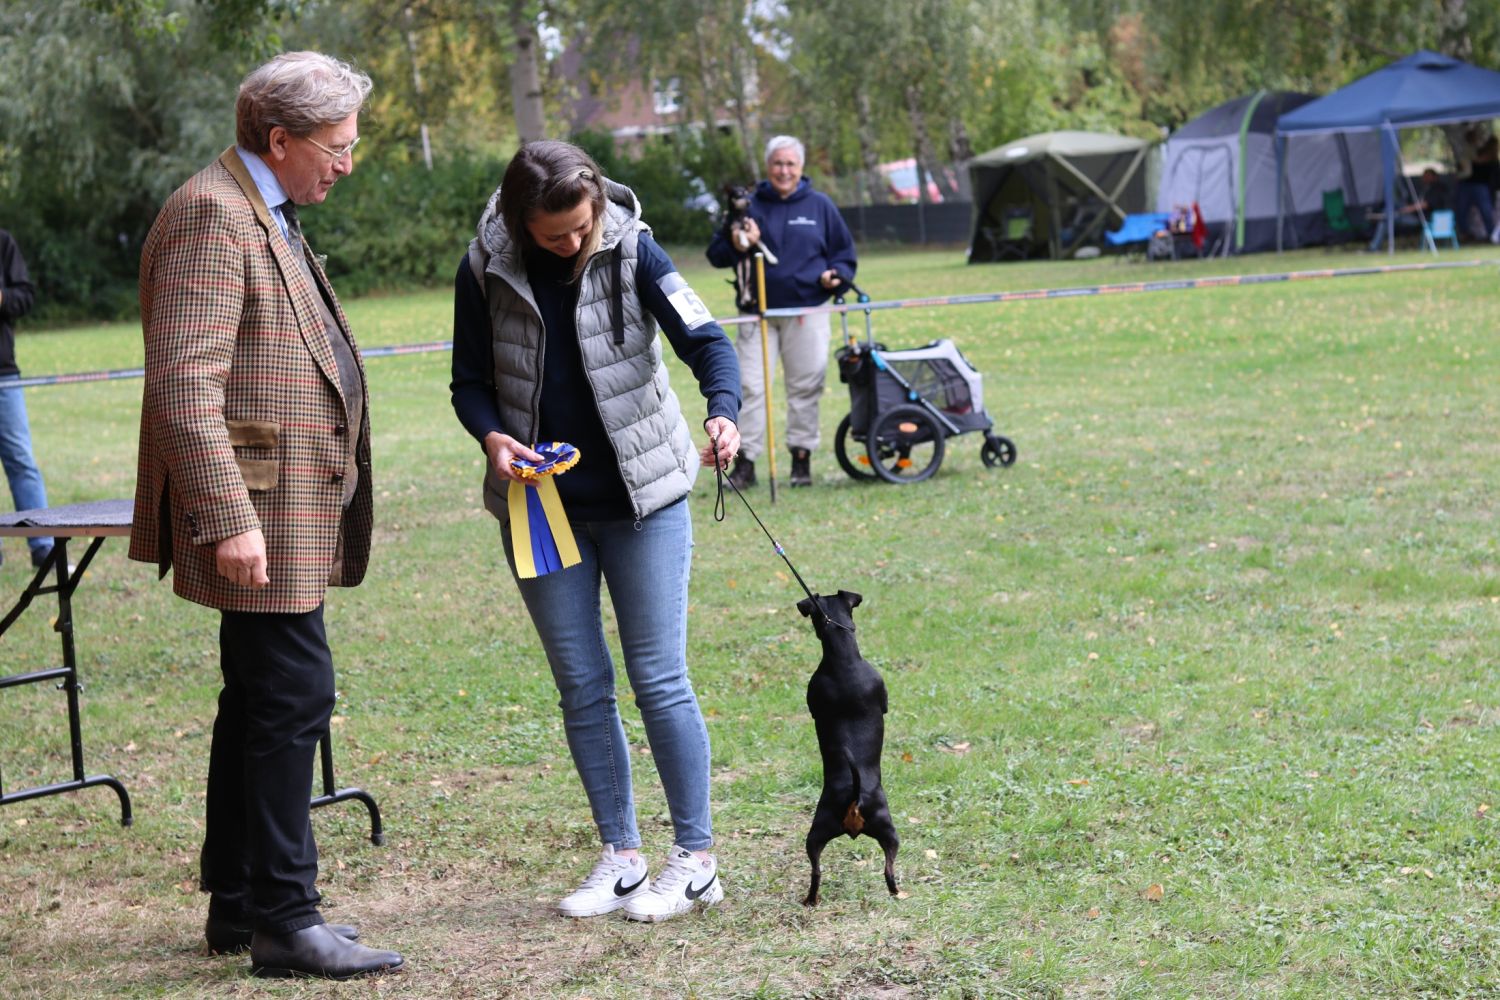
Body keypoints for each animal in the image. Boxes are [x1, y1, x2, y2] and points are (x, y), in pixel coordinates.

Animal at [722, 184, 777, 312]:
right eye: (739, 194)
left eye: (747, 193)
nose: (748, 202)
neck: (739, 215)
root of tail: (744, 261)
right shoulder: (733, 230)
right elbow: (740, 231)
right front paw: (744, 241)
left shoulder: (754, 234)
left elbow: (763, 245)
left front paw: (772, 258)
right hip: (739, 269)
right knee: (742, 285)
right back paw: (744, 300)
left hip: (750, 270)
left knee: (747, 284)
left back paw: (749, 299)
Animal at [797, 590, 899, 906]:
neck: (842, 659)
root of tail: (855, 798)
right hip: (887, 830)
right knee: (888, 869)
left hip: (819, 834)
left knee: (818, 871)